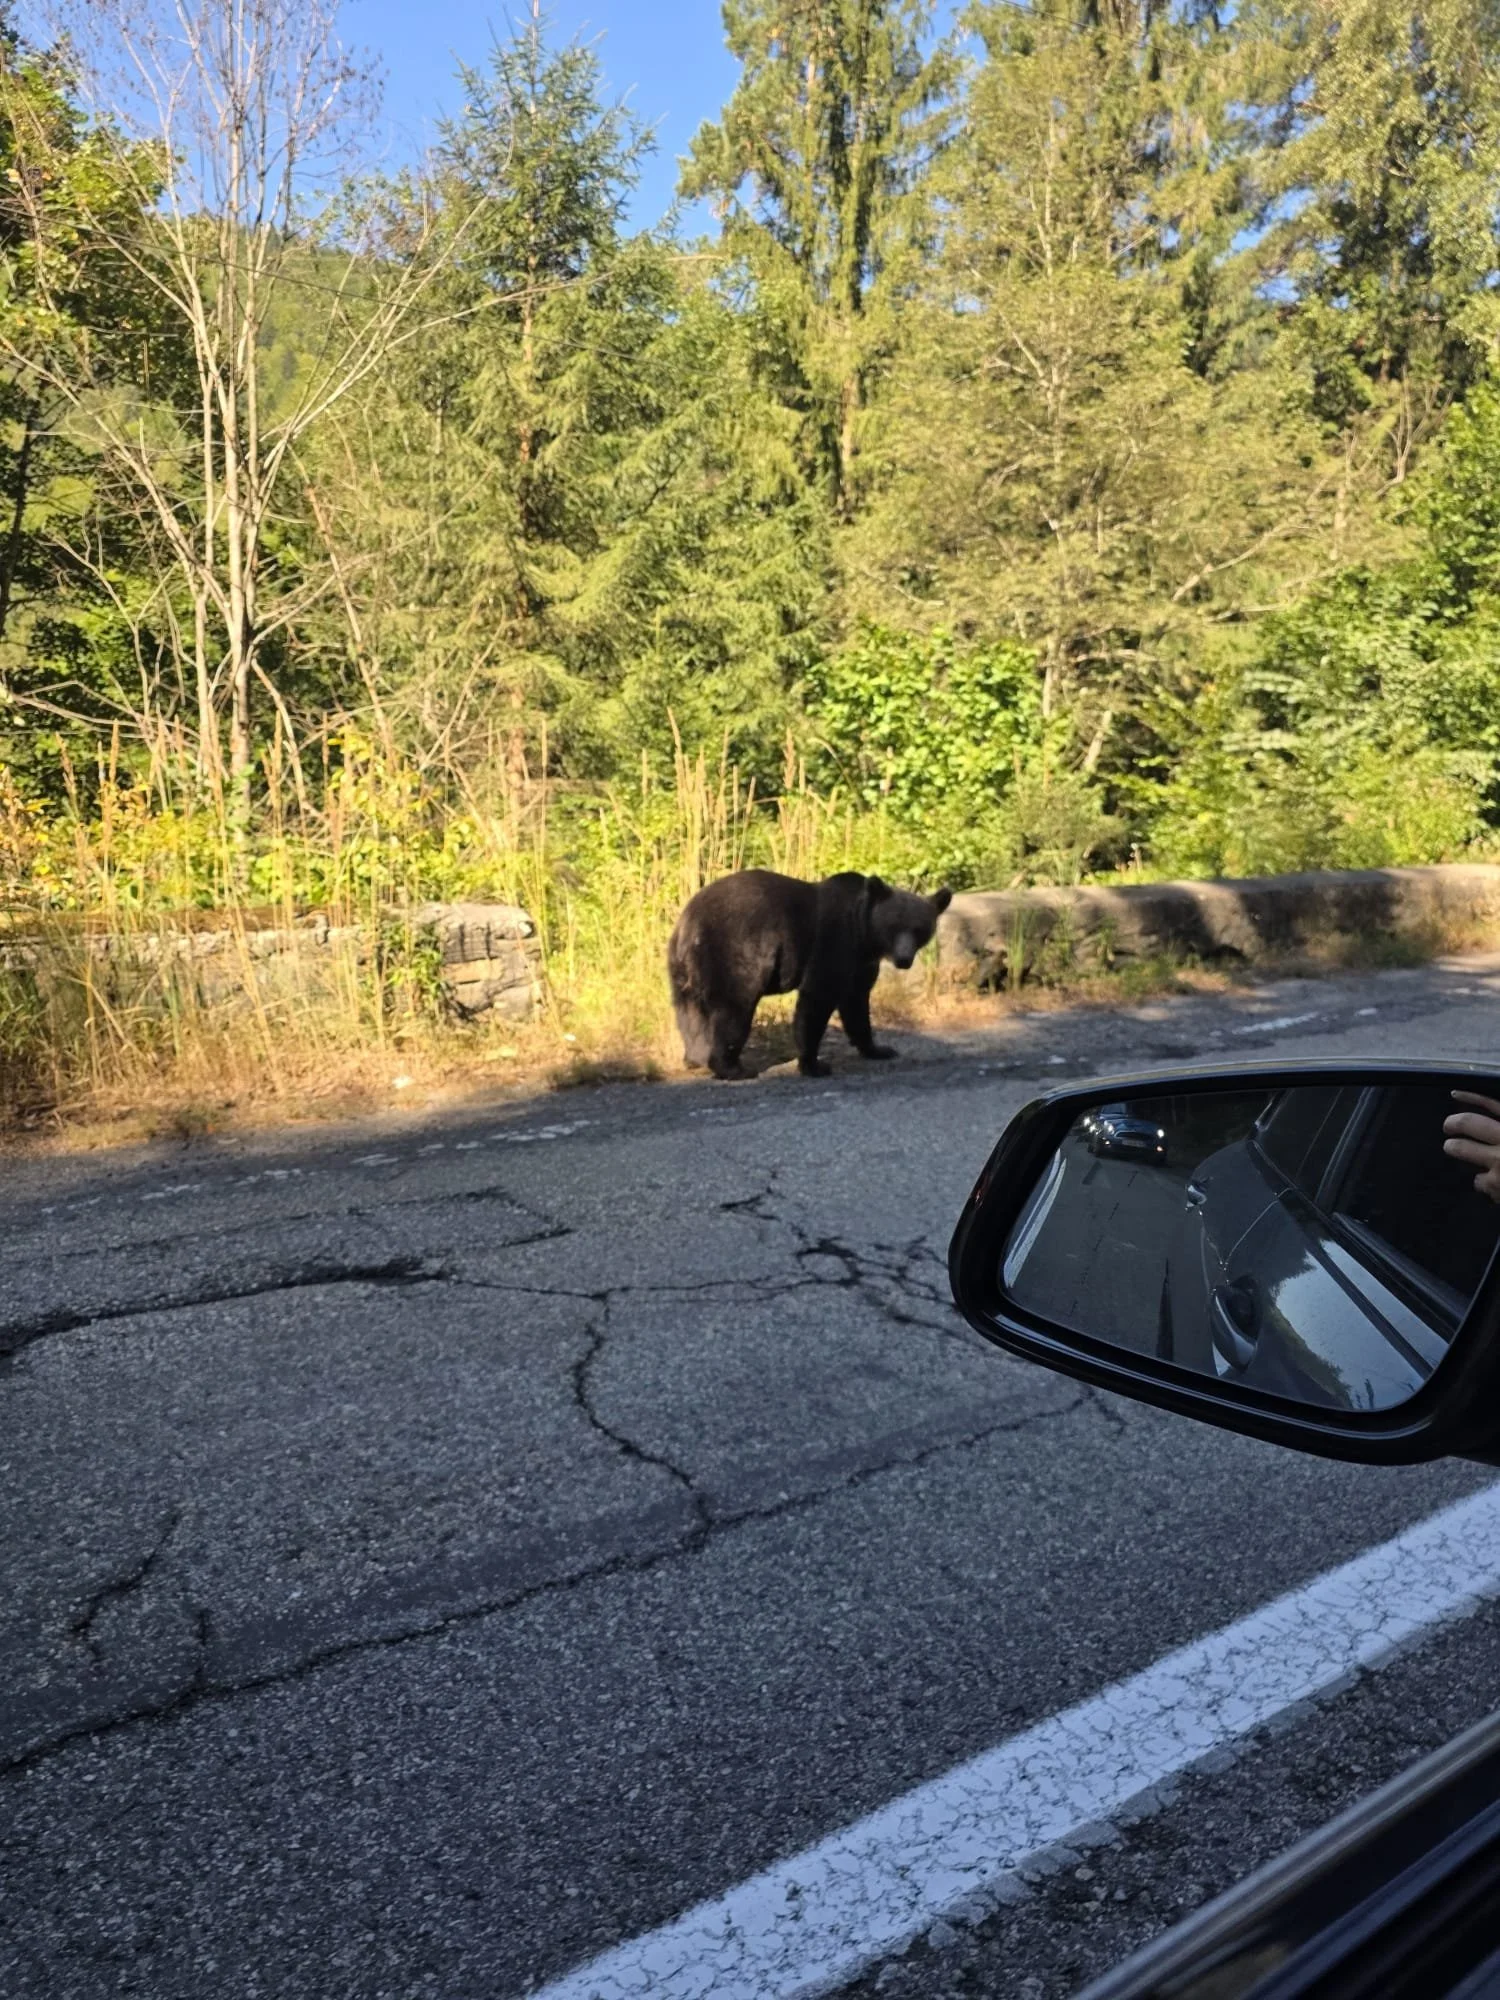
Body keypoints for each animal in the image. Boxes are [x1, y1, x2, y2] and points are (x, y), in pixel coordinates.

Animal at [668, 868, 953, 1080]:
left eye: (919, 929)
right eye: (893, 926)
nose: (904, 959)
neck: (864, 935)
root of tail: (689, 922)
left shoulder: (860, 964)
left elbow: (856, 1004)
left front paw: (878, 1048)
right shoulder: (834, 943)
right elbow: (818, 998)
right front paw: (814, 1064)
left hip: (683, 967)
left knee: (689, 1011)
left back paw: (695, 1057)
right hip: (735, 949)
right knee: (734, 1007)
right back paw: (732, 1067)